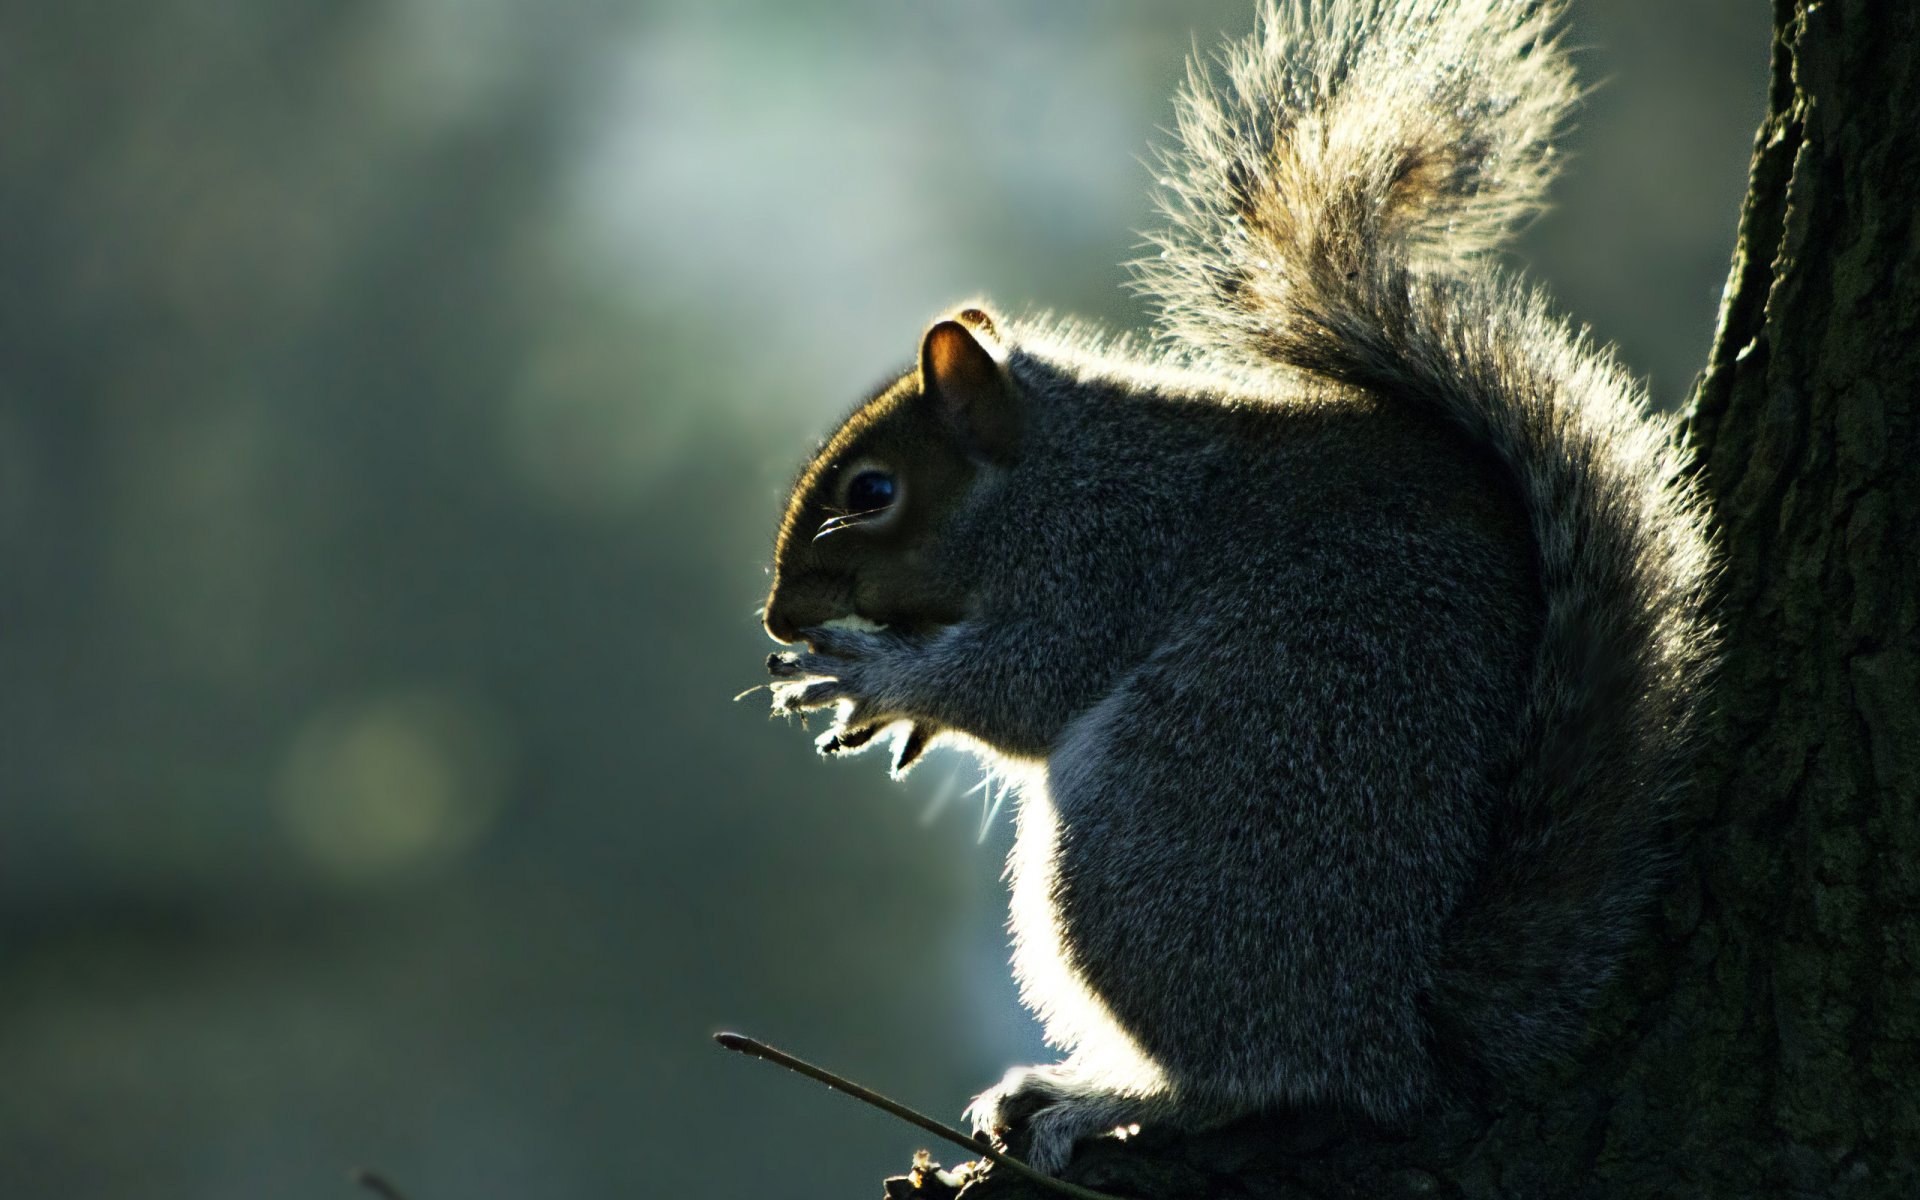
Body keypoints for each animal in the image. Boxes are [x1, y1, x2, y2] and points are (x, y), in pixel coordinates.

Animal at [759, 0, 1715, 1175]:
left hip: (1149, 840)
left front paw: (874, 678)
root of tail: (1393, 1028)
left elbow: (1025, 686)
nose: (777, 612)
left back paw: (1099, 1097)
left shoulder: (1102, 560)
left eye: (873, 491)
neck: (1061, 472)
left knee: (1254, 1079)